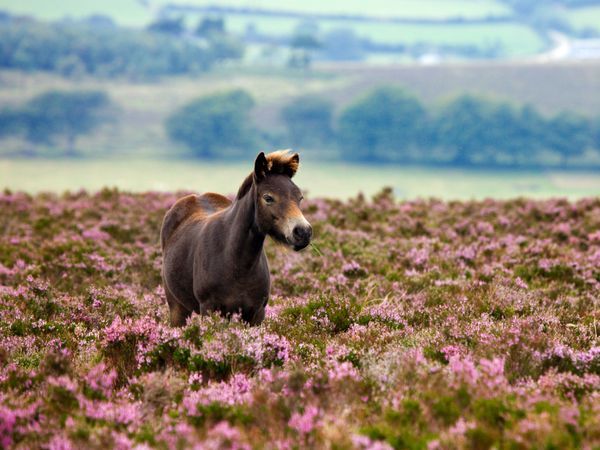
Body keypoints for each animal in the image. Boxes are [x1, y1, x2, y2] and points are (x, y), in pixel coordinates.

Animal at [162, 151, 312, 326]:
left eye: (300, 197)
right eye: (268, 198)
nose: (303, 232)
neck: (236, 263)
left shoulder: (256, 313)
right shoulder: (209, 309)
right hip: (177, 308)